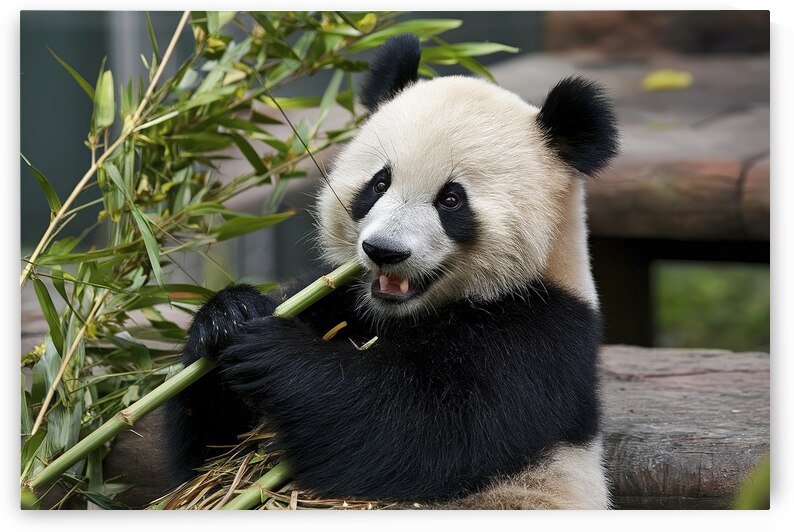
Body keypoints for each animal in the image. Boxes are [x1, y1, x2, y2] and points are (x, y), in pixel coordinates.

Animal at [165, 33, 619, 510]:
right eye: (379, 184)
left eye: (451, 200)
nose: (384, 251)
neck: (404, 314)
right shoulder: (341, 298)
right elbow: (211, 446)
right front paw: (229, 315)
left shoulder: (537, 337)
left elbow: (425, 429)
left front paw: (274, 350)